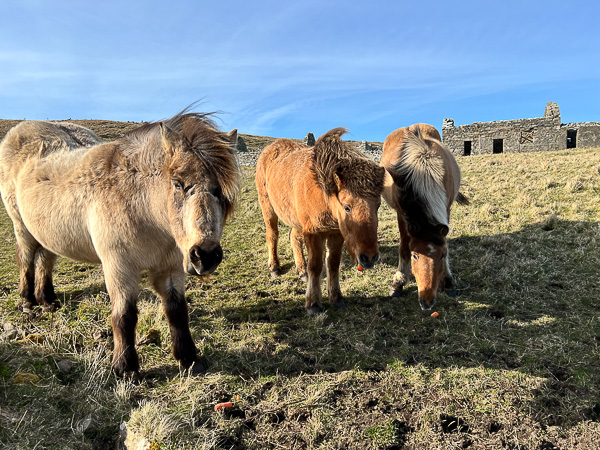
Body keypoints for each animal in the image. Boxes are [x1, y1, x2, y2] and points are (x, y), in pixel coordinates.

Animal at [0, 110, 239, 378]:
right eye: (177, 183)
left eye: (219, 190)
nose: (205, 256)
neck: (141, 208)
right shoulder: (119, 267)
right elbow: (124, 316)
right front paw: (125, 368)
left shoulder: (170, 268)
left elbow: (177, 311)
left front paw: (189, 360)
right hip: (22, 227)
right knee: (26, 259)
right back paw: (28, 299)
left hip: (46, 233)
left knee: (45, 259)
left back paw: (47, 299)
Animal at [254, 128, 384, 314]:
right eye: (347, 207)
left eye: (378, 205)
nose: (370, 258)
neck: (322, 193)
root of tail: (271, 148)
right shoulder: (314, 233)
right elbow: (315, 266)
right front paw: (313, 304)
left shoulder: (336, 234)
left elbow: (333, 264)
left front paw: (336, 298)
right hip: (268, 208)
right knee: (272, 235)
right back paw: (274, 267)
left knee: (294, 238)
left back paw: (301, 270)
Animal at [380, 125, 468, 312]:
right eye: (415, 256)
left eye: (442, 256)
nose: (427, 301)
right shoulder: (401, 214)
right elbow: (403, 247)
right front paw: (398, 282)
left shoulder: (446, 209)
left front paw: (448, 281)